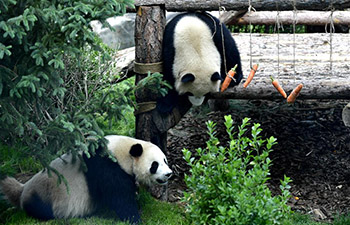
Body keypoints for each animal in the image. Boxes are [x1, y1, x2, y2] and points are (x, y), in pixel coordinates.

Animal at [0, 134, 172, 224]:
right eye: (155, 165)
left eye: (165, 160)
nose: (168, 174)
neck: (121, 151)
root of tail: (23, 189)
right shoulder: (106, 166)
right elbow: (119, 196)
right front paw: (134, 218)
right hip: (44, 193)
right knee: (39, 208)